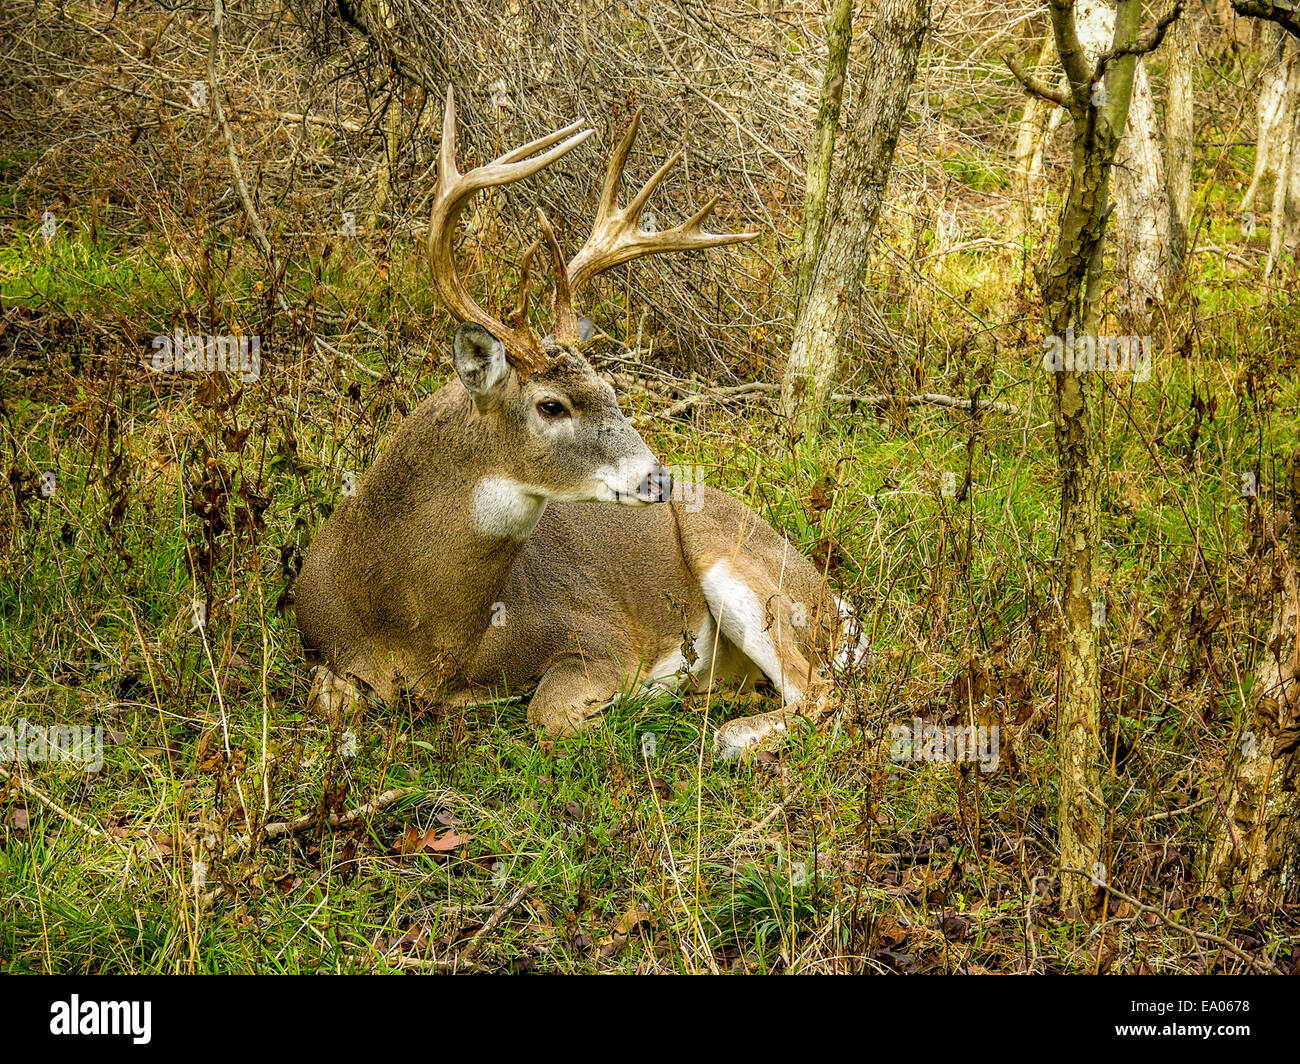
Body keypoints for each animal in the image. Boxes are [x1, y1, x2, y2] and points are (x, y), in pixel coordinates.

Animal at [295, 88, 862, 759]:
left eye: (612, 390)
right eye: (551, 405)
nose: (659, 480)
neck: (423, 632)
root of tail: (834, 605)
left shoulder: (597, 636)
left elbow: (548, 715)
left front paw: (636, 700)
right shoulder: (318, 640)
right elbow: (333, 702)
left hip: (743, 566)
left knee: (819, 691)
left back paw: (721, 729)